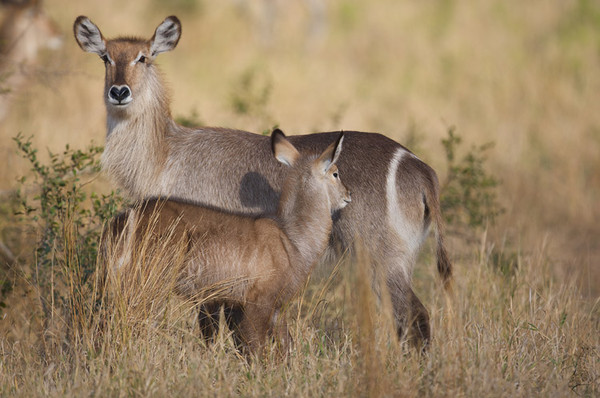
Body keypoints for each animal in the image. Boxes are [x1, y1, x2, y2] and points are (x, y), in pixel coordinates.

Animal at [105, 129, 350, 352]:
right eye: (335, 173)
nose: (348, 195)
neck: (293, 237)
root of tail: (127, 217)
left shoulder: (274, 308)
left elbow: (284, 348)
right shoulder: (257, 303)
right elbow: (256, 349)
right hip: (150, 283)